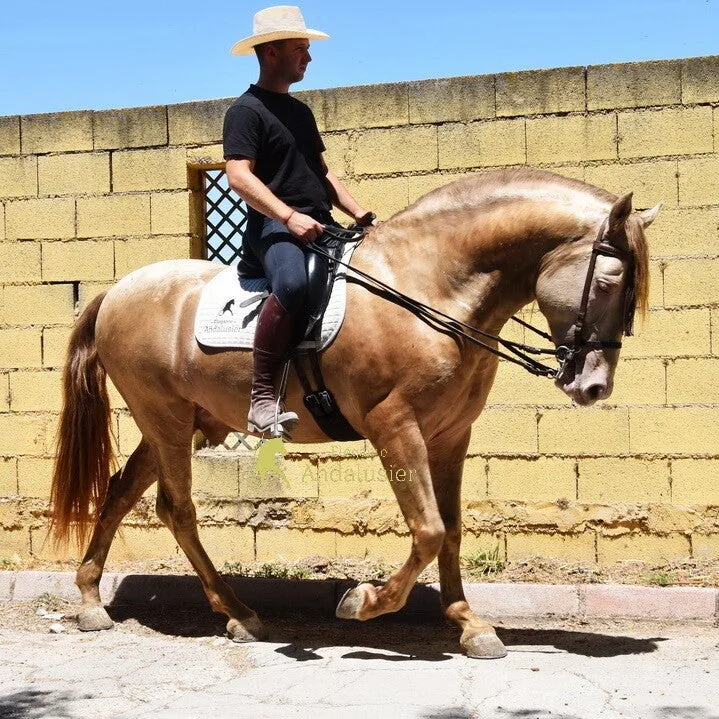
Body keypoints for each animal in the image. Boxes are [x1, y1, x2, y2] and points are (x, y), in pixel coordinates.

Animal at [50, 167, 658, 659]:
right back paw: (239, 615)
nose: (594, 386)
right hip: (167, 419)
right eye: (610, 281)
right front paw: (363, 602)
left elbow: (453, 530)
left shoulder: (451, 435)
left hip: (178, 424)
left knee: (121, 492)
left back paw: (91, 601)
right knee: (176, 509)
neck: (428, 286)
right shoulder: (395, 426)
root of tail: (116, 292)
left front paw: (469, 624)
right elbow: (429, 528)